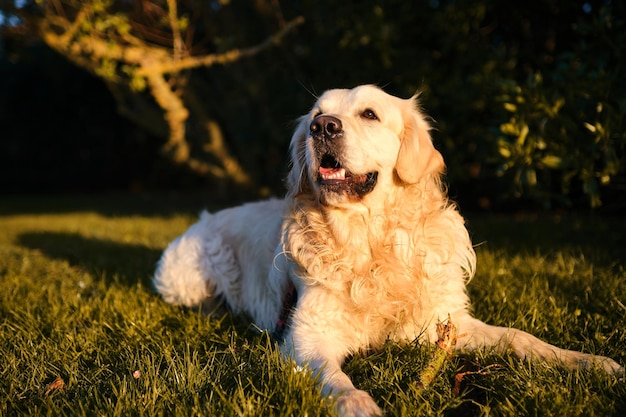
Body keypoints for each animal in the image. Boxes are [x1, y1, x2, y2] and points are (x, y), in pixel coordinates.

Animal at [152, 84, 620, 416]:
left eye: (369, 114)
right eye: (316, 116)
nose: (323, 128)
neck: (370, 244)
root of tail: (204, 217)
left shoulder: (446, 323)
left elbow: (521, 338)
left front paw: (591, 362)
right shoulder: (308, 336)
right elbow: (336, 380)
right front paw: (359, 405)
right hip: (186, 279)